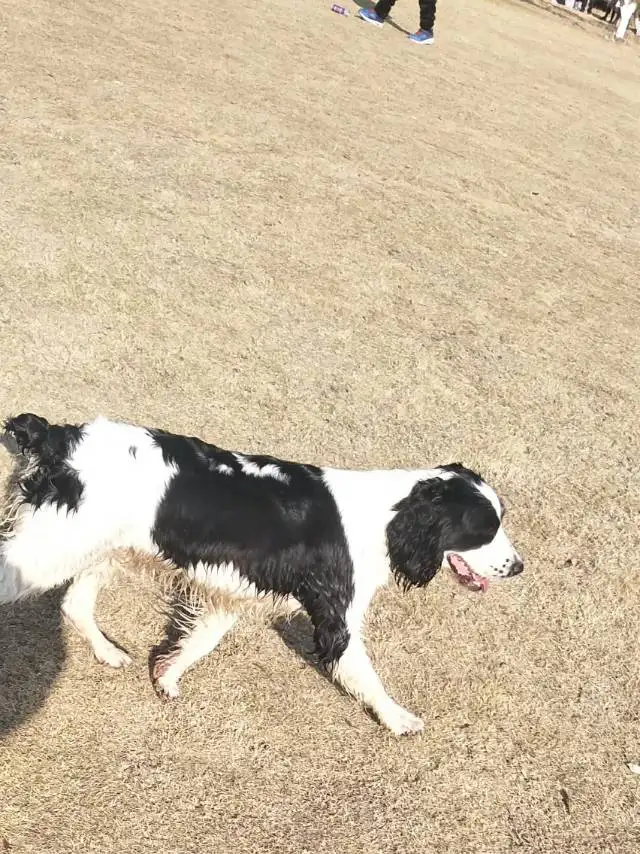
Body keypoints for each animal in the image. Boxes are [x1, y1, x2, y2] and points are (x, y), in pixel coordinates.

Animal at [0, 414, 524, 736]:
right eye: (485, 530)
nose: (518, 567)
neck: (387, 516)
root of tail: (58, 437)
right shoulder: (336, 620)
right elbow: (366, 675)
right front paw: (399, 719)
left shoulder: (228, 592)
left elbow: (199, 641)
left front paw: (167, 677)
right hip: (50, 550)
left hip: (101, 547)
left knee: (74, 603)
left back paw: (109, 653)